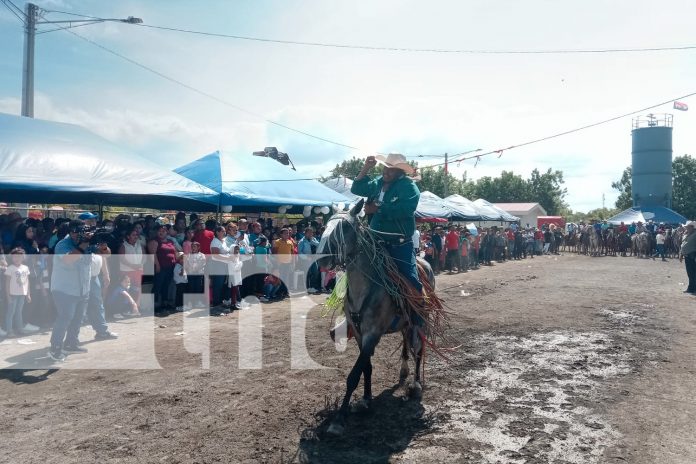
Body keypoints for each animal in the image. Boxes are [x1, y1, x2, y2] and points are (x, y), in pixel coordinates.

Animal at [316, 201, 436, 436]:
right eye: (326, 225)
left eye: (345, 227)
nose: (322, 258)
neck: (364, 288)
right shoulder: (359, 333)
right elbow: (366, 367)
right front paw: (365, 399)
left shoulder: (372, 334)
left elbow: (354, 374)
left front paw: (338, 420)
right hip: (404, 323)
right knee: (406, 343)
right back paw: (404, 371)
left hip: (421, 321)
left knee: (419, 348)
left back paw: (416, 385)